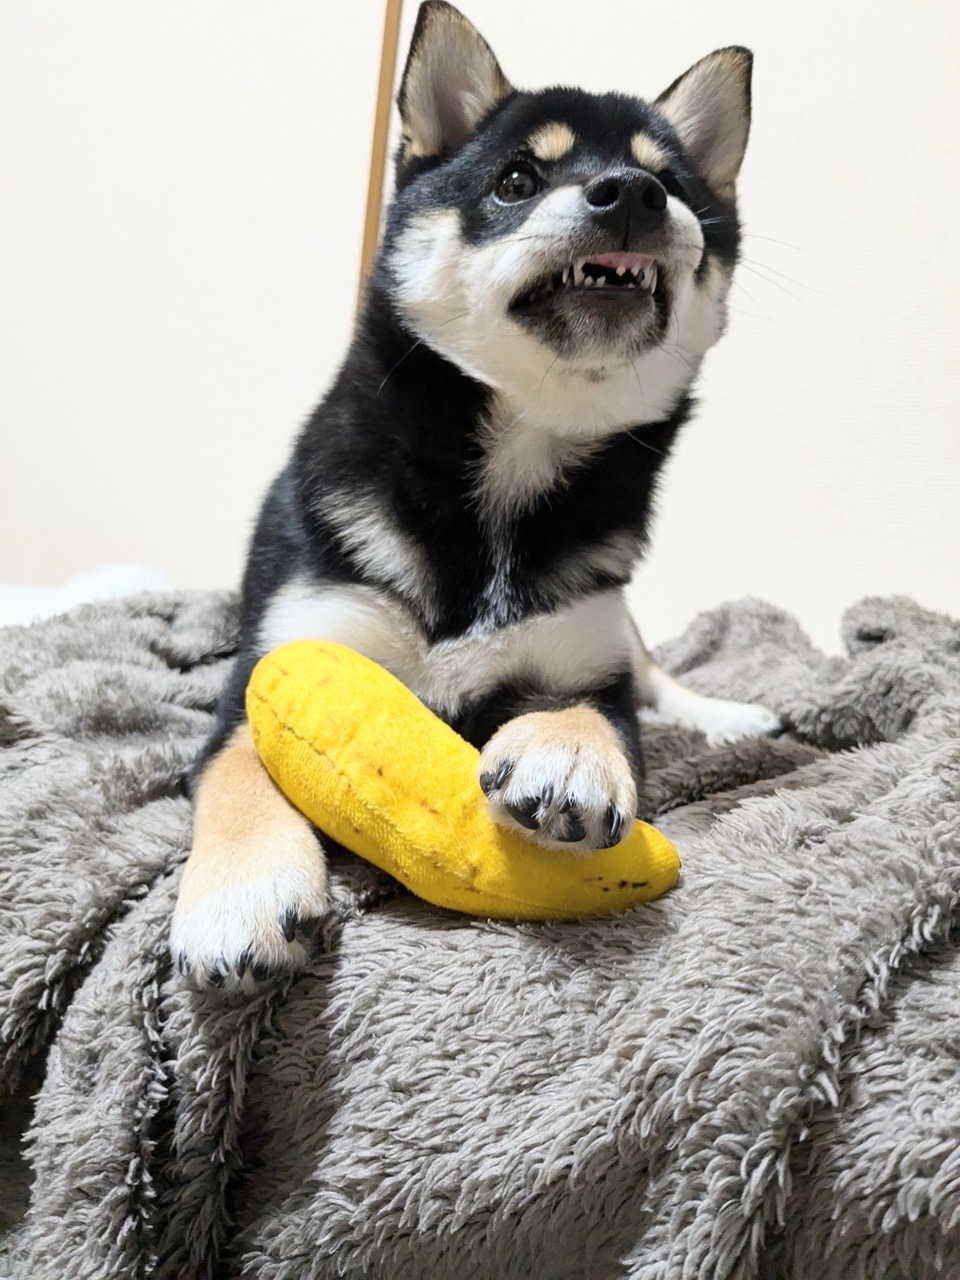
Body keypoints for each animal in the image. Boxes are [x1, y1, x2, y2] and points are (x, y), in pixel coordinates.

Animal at [171, 0, 779, 989]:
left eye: (674, 186)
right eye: (516, 180)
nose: (633, 195)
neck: (511, 471)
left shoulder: (587, 659)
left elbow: (603, 707)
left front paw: (567, 751)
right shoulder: (279, 668)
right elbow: (239, 773)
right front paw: (242, 892)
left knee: (656, 670)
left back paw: (726, 713)